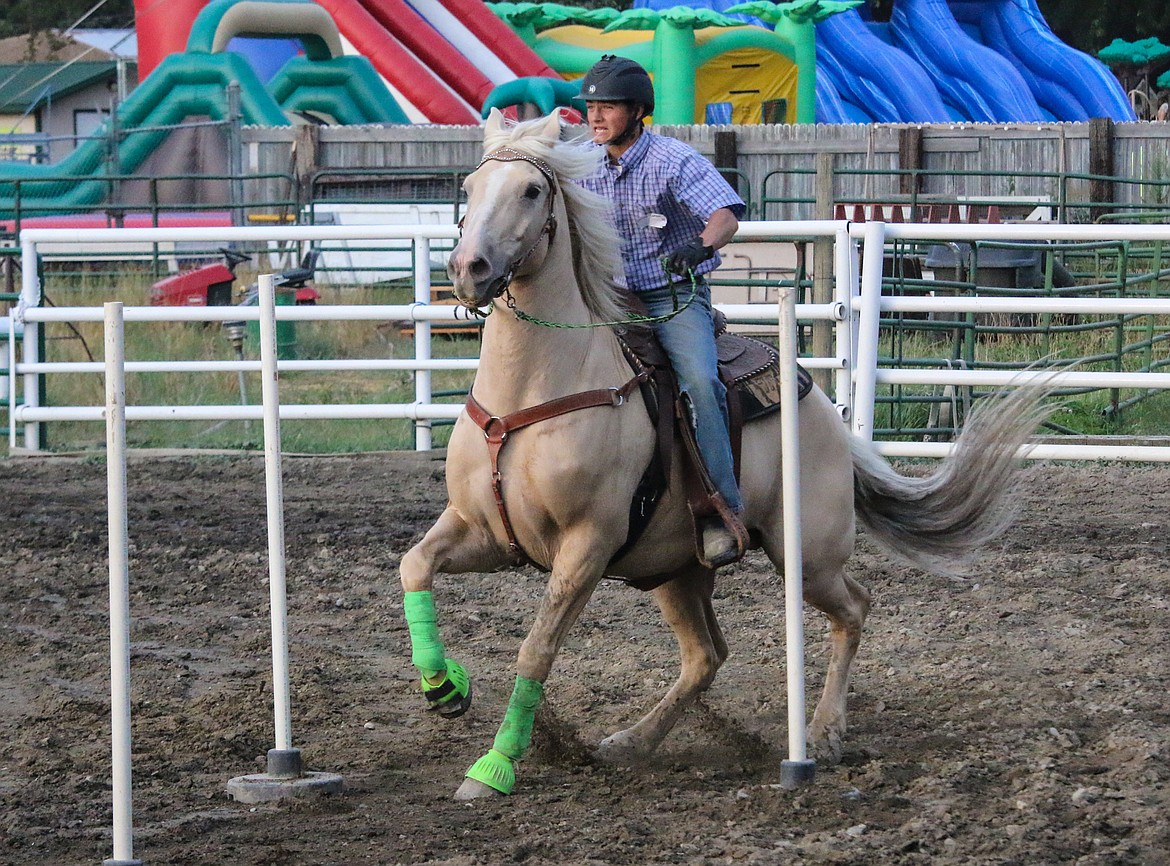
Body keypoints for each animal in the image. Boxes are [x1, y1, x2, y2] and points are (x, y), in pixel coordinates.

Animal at [397, 111, 1048, 800]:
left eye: (530, 191)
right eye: (469, 187)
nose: (469, 268)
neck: (533, 390)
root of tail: (827, 416)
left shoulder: (586, 545)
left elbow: (535, 648)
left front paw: (493, 768)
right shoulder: (485, 530)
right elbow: (415, 567)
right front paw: (444, 688)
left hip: (805, 557)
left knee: (853, 609)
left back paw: (821, 735)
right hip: (676, 571)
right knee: (705, 656)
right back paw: (632, 742)